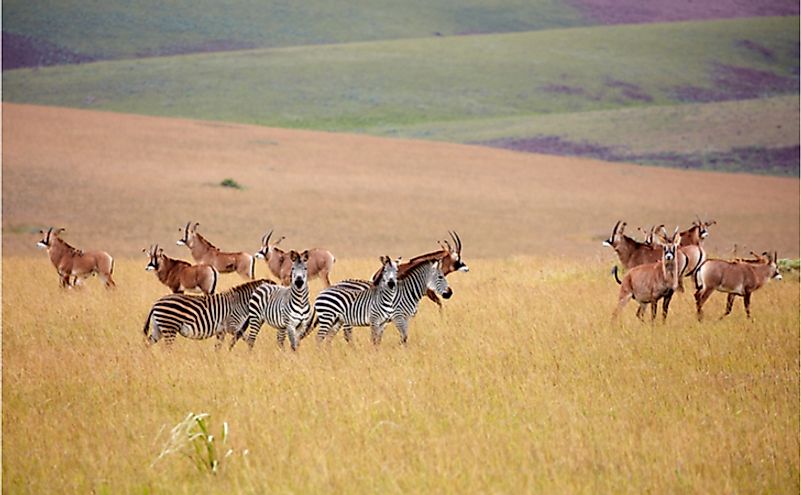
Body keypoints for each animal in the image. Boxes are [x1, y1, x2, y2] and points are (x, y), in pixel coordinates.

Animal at [141, 280, 272, 348]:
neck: (239, 303)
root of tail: (155, 304)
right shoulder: (231, 325)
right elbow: (245, 337)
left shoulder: (221, 330)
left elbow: (218, 347)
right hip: (169, 327)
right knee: (167, 348)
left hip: (159, 328)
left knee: (148, 343)